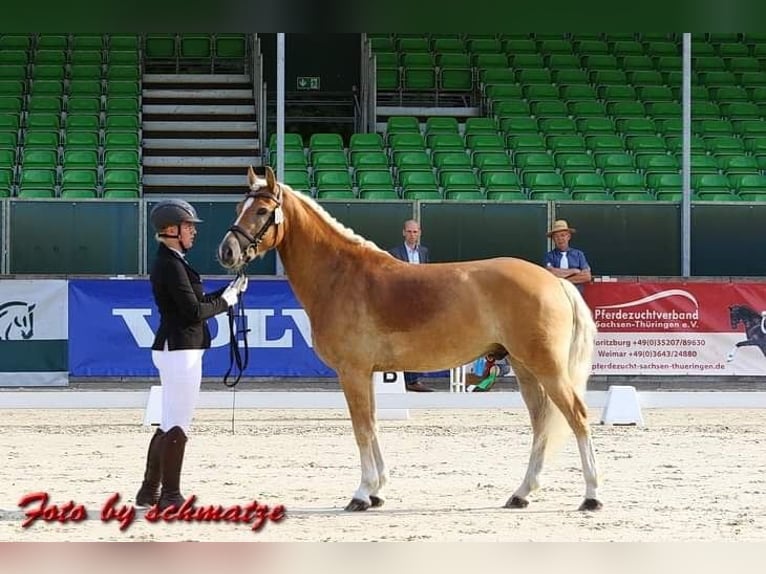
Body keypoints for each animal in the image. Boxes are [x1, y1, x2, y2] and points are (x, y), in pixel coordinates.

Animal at [217, 166, 601, 512]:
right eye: (238, 208)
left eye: (262, 211)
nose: (227, 252)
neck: (341, 276)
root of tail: (555, 281)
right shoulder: (366, 374)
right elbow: (372, 425)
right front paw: (377, 491)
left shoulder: (352, 372)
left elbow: (362, 428)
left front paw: (361, 494)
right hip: (524, 368)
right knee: (541, 422)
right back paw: (521, 493)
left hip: (547, 368)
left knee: (577, 416)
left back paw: (591, 496)